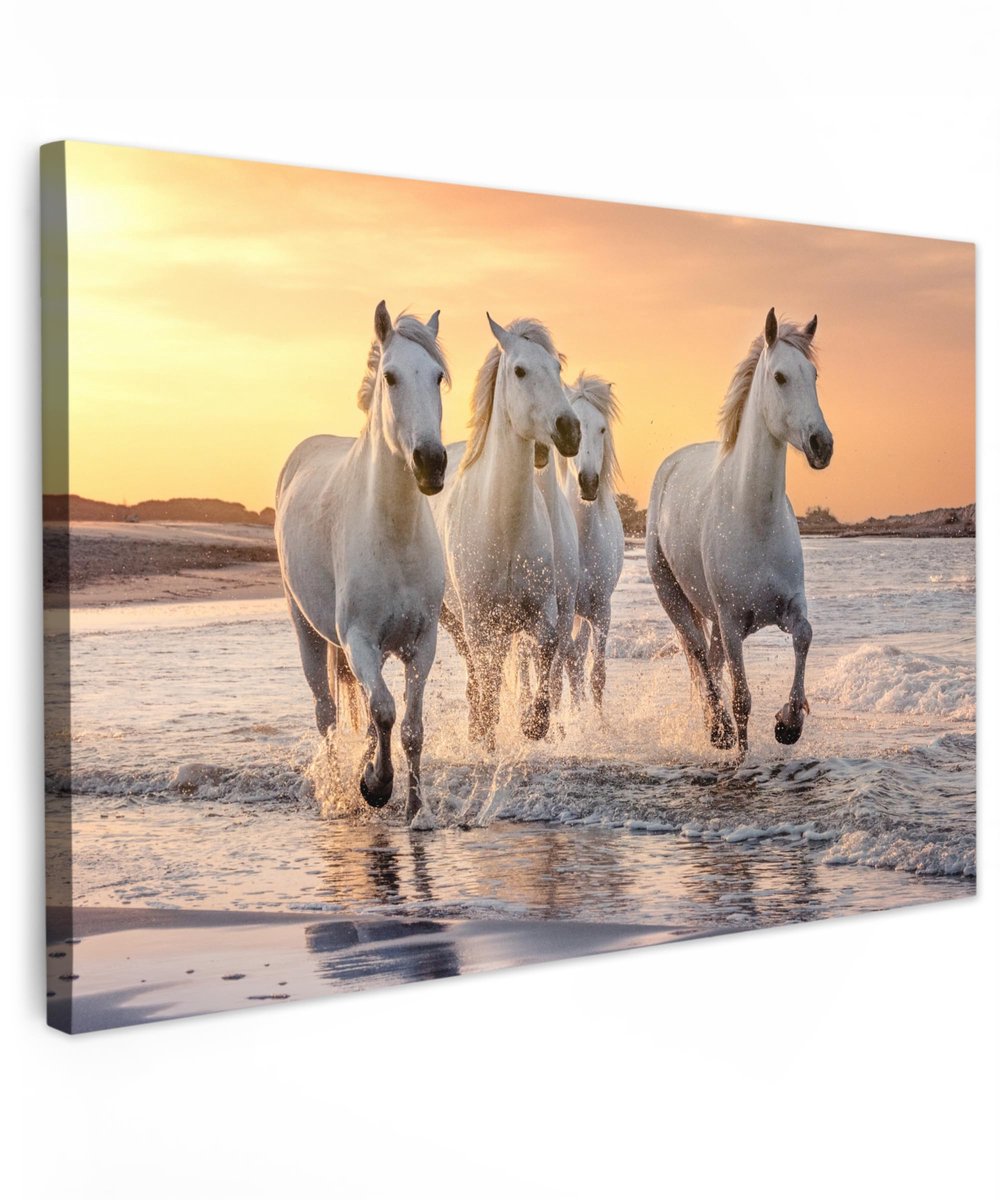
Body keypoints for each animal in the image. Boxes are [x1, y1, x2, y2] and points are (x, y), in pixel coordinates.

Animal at [275, 302, 450, 823]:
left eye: (437, 376)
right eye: (391, 377)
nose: (431, 462)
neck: (393, 535)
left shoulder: (421, 643)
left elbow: (409, 726)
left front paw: (415, 809)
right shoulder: (359, 640)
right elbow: (385, 711)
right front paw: (376, 786)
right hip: (308, 632)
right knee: (327, 715)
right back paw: (337, 791)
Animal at [433, 315, 581, 750]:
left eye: (558, 368)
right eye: (519, 370)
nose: (570, 429)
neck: (505, 526)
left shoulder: (543, 611)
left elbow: (545, 652)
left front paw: (534, 723)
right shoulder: (480, 622)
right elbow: (488, 679)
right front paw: (486, 732)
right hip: (454, 619)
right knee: (477, 672)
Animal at [645, 308, 834, 760]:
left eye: (814, 375)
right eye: (780, 377)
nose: (822, 444)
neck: (754, 519)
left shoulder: (789, 607)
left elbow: (805, 636)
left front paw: (789, 723)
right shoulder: (732, 623)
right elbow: (742, 698)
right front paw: (741, 752)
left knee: (709, 663)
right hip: (674, 597)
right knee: (699, 655)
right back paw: (718, 731)